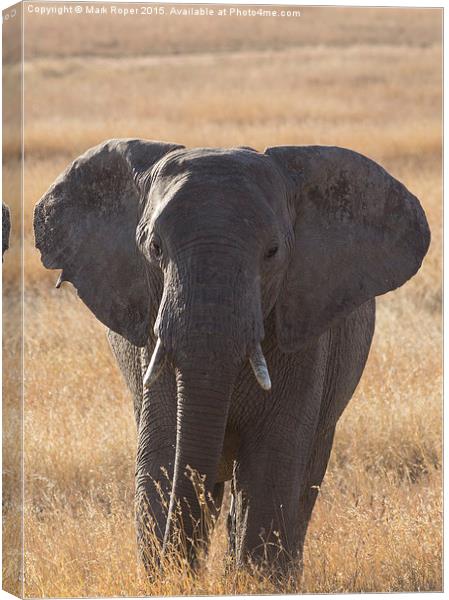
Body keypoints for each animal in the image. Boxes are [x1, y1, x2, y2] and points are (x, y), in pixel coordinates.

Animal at [32, 138, 430, 580]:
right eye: (154, 248)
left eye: (273, 252)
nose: (179, 569)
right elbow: (162, 453)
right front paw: (169, 580)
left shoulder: (304, 330)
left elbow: (273, 461)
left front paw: (257, 581)